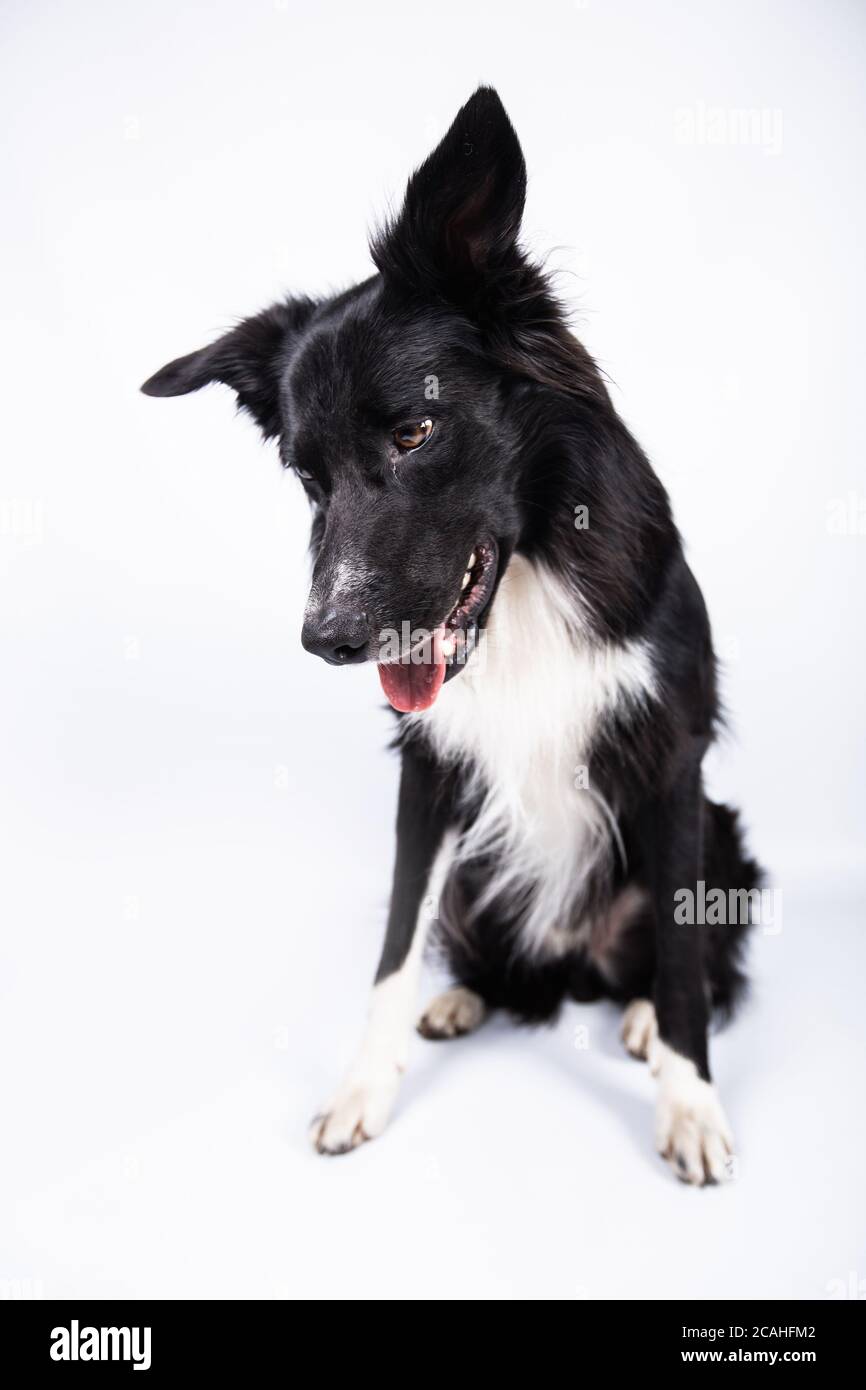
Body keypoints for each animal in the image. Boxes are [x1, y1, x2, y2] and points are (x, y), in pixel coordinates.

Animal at [142, 84, 756, 1184]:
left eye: (415, 433)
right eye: (305, 475)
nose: (329, 639)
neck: (527, 586)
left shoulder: (673, 756)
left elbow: (689, 961)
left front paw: (689, 1103)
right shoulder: (427, 771)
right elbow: (393, 940)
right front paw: (361, 1089)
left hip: (719, 835)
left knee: (689, 958)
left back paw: (641, 1020)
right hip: (479, 868)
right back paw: (463, 999)